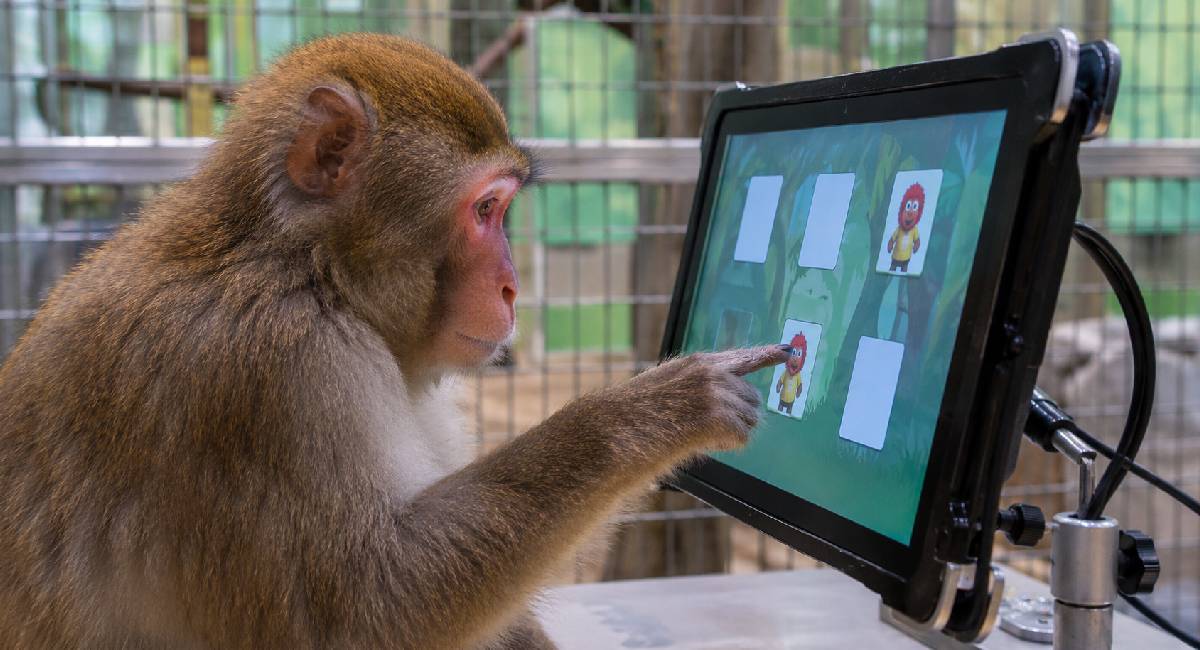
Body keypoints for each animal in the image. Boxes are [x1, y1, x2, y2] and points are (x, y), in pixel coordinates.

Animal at [0, 34, 787, 649]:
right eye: (486, 209)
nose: (511, 288)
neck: (306, 267)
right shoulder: (274, 371)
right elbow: (371, 611)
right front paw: (658, 409)